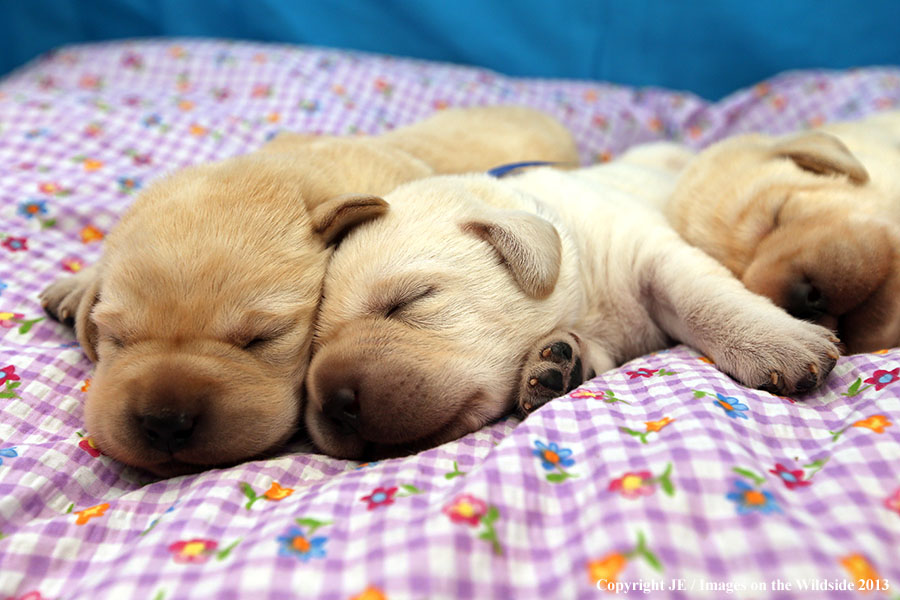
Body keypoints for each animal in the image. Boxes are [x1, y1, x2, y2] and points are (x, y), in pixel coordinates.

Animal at [306, 145, 840, 460]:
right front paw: (556, 364)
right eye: (310, 348)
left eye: (410, 301)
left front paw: (777, 342)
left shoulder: (647, 249)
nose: (333, 404)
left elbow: (703, 296)